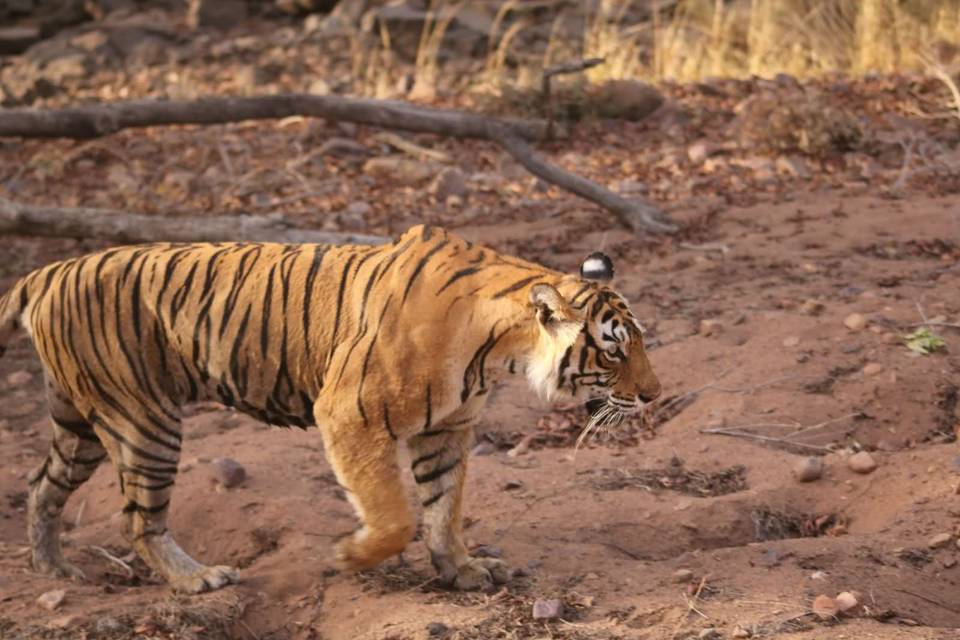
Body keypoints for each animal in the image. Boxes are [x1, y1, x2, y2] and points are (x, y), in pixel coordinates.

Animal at [0, 222, 660, 592]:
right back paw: (195, 579)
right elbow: (396, 515)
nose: (654, 394)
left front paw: (462, 569)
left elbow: (444, 508)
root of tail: (47, 272)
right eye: (613, 351)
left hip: (83, 422)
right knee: (137, 517)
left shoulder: (447, 430)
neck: (499, 351)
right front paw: (349, 556)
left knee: (40, 486)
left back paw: (54, 570)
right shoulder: (349, 414)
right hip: (143, 420)